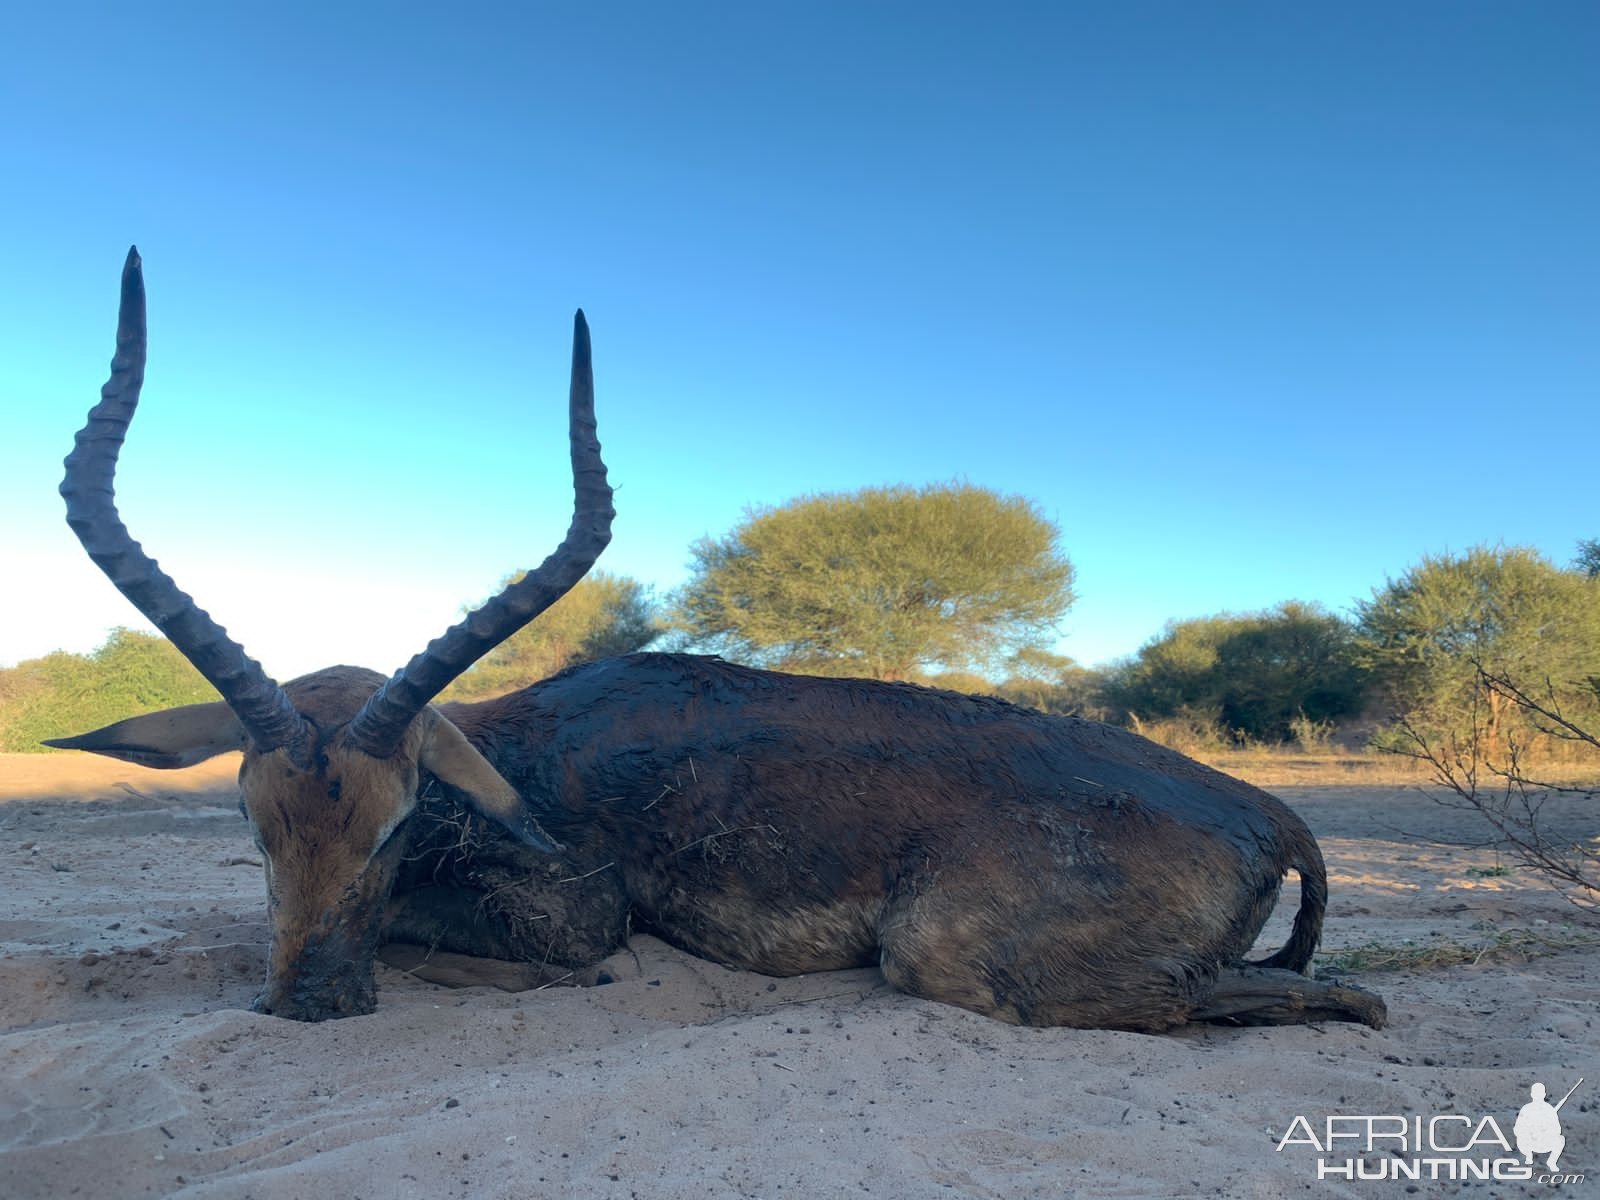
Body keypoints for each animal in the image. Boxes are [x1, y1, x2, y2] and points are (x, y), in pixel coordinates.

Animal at [46, 251, 1376, 1036]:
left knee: (1320, 996)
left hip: (940, 952)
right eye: (250, 816)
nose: (311, 1004)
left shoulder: (575, 913)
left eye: (400, 816)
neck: (516, 751)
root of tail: (1271, 816)